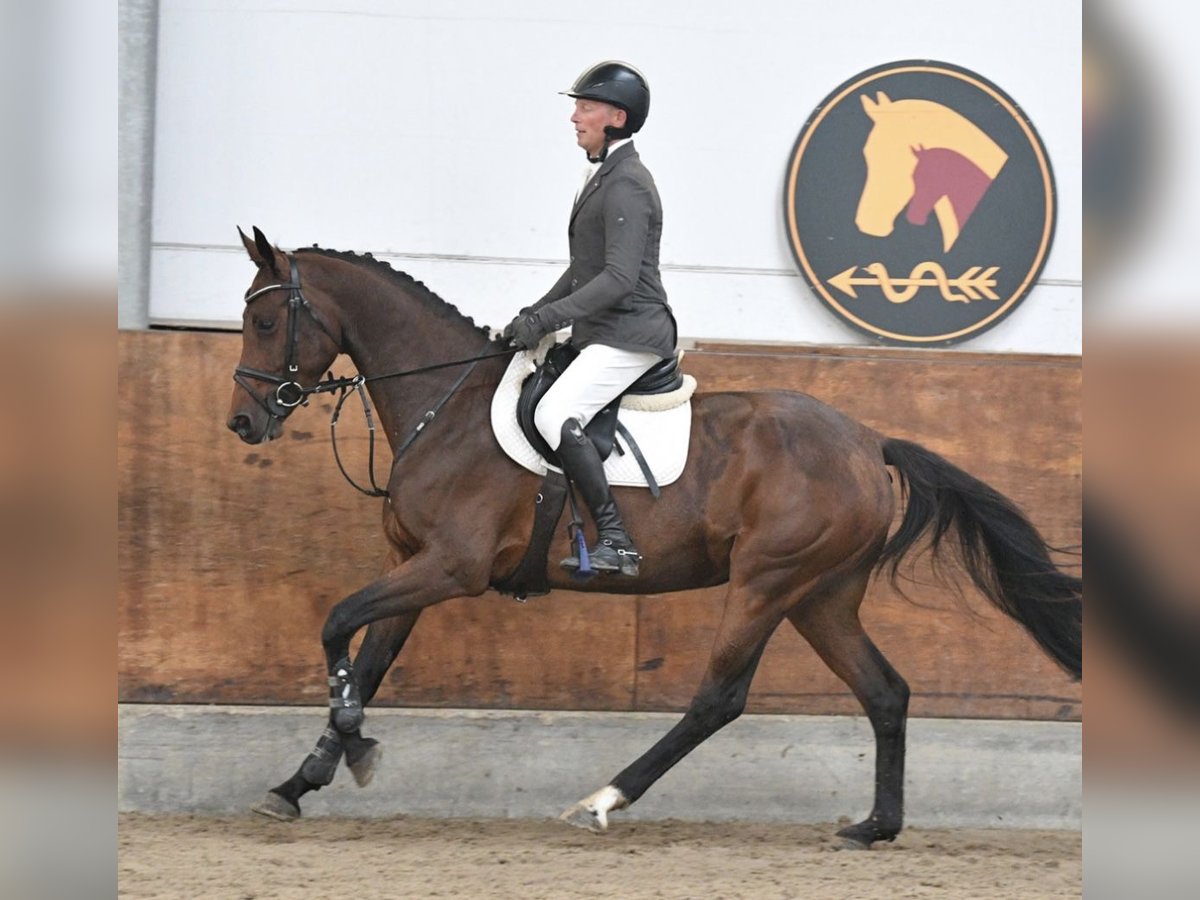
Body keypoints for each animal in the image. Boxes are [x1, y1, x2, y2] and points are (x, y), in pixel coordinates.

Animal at [226, 226, 1081, 848]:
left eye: (266, 321)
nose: (242, 422)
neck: (447, 403)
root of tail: (869, 444)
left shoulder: (449, 567)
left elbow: (336, 624)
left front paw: (350, 752)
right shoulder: (411, 564)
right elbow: (363, 663)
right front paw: (302, 779)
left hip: (767, 582)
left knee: (718, 699)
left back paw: (604, 799)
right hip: (822, 595)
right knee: (885, 692)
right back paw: (874, 828)